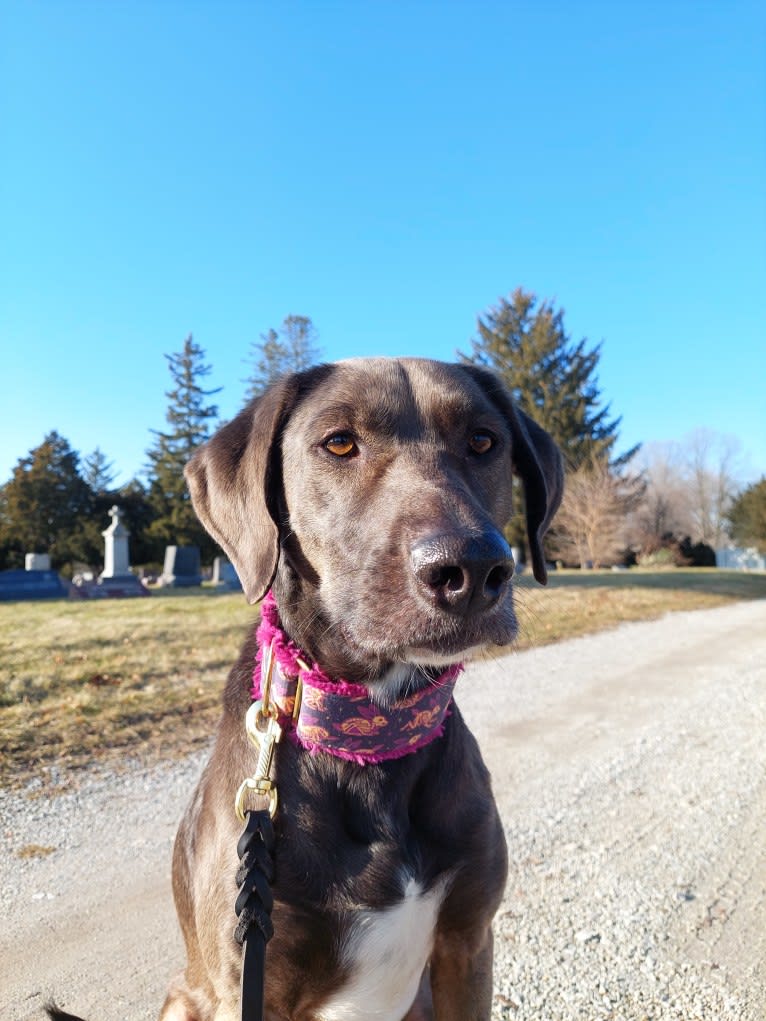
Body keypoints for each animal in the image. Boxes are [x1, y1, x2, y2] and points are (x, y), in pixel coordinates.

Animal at [51, 355, 563, 1016]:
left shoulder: (467, 944)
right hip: (186, 997)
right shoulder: (250, 981)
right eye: (339, 443)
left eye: (483, 441)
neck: (368, 736)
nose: (473, 569)